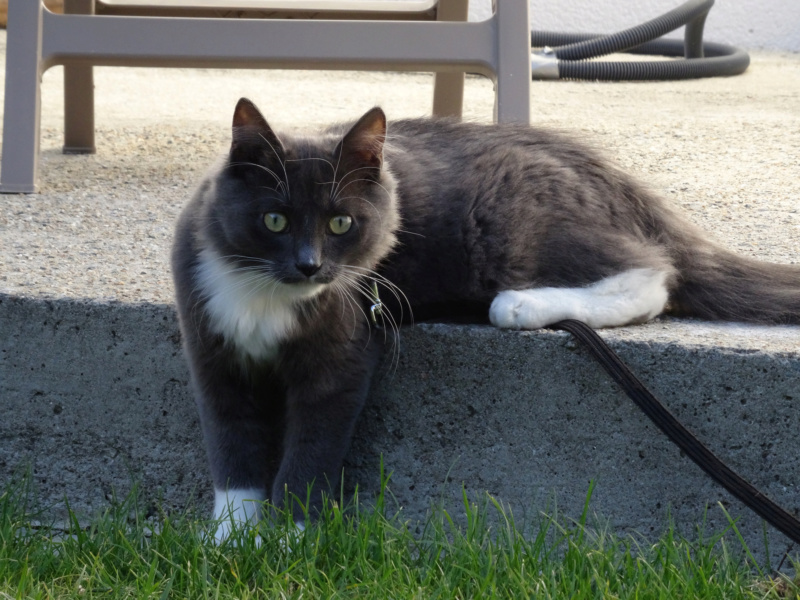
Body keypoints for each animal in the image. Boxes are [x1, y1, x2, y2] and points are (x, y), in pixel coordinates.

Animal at [172, 97, 800, 540]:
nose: (309, 265)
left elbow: (314, 442)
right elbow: (230, 440)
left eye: (341, 223)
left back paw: (520, 305)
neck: (267, 299)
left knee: (653, 274)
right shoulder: (208, 339)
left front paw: (287, 540)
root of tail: (622, 187)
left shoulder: (345, 342)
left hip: (508, 224)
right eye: (274, 220)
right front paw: (232, 540)